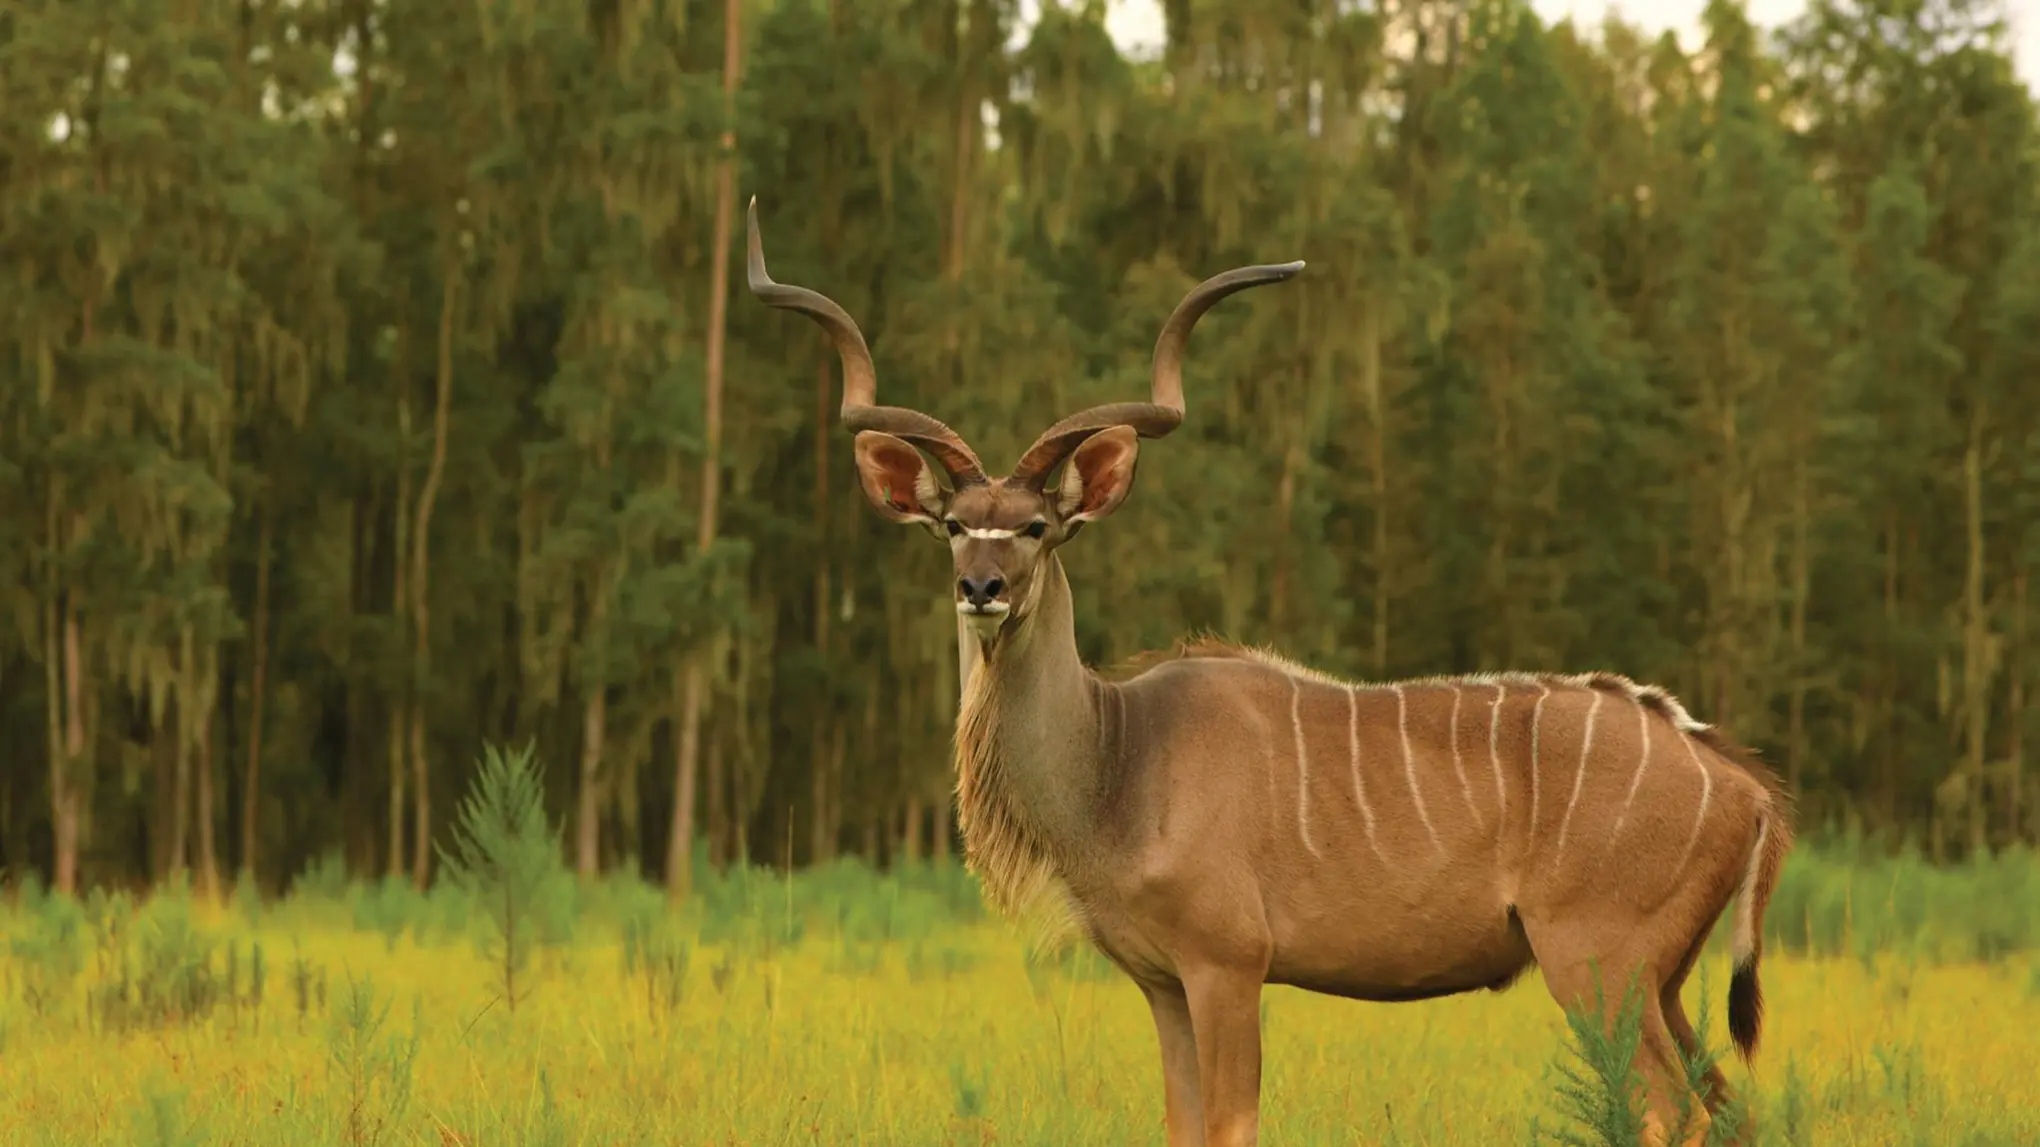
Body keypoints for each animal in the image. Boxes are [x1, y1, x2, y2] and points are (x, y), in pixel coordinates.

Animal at [744, 197, 1793, 1147]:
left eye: (1037, 525)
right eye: (955, 524)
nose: (982, 588)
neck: (1118, 758)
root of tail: (1743, 786)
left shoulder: (1228, 965)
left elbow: (1233, 1124)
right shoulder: (1162, 982)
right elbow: (1180, 1123)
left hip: (1599, 964)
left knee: (1666, 1110)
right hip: (1662, 981)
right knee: (1728, 1108)